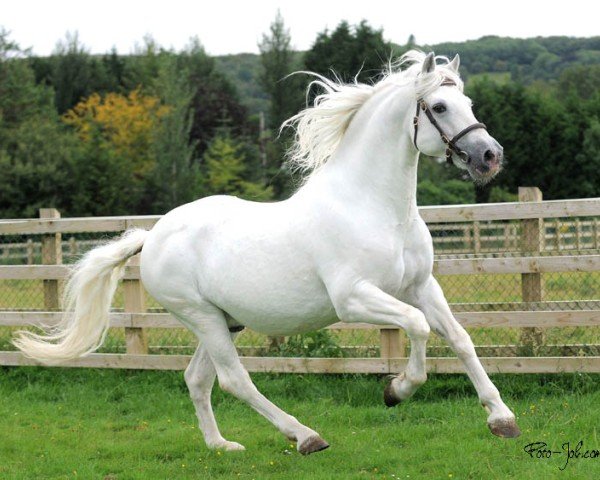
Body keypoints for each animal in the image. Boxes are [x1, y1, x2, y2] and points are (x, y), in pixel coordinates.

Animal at [14, 50, 520, 456]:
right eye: (439, 106)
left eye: (470, 105)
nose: (490, 156)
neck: (373, 206)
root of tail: (154, 235)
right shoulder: (354, 298)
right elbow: (417, 328)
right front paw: (396, 390)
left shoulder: (420, 286)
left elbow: (460, 338)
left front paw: (502, 419)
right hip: (200, 316)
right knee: (234, 379)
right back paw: (305, 437)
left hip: (224, 321)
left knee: (197, 379)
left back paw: (222, 446)